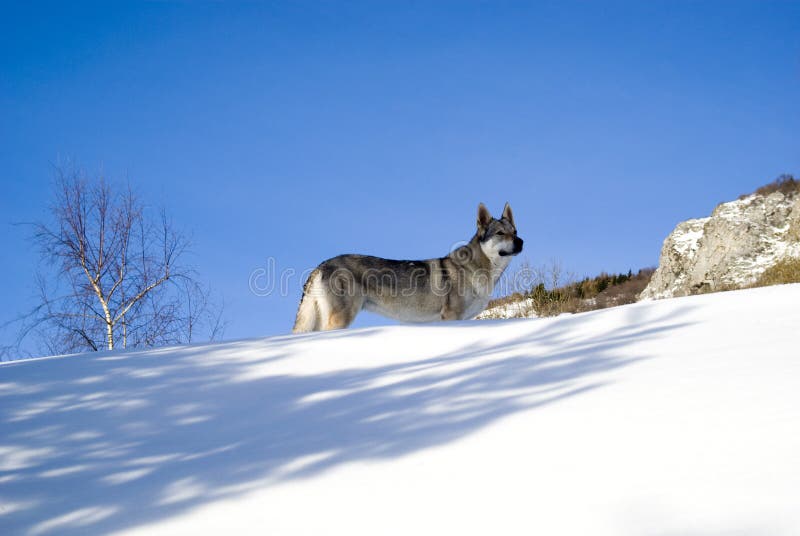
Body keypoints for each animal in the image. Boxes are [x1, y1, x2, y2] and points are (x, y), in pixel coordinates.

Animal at [294, 204, 524, 332]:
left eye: (515, 231)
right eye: (500, 233)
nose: (521, 241)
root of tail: (320, 265)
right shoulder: (451, 317)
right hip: (340, 319)